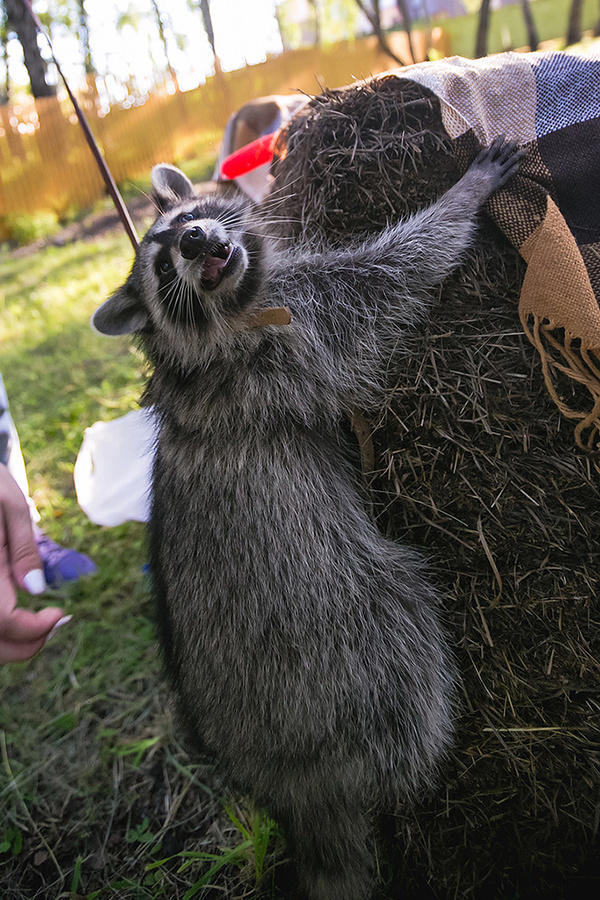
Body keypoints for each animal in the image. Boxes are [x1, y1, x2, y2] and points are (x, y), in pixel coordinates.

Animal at [92, 137, 520, 896]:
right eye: (163, 265)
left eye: (190, 221)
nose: (196, 241)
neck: (232, 310)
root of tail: (293, 789)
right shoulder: (300, 328)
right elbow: (396, 273)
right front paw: (463, 198)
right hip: (340, 642)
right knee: (402, 648)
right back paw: (433, 745)